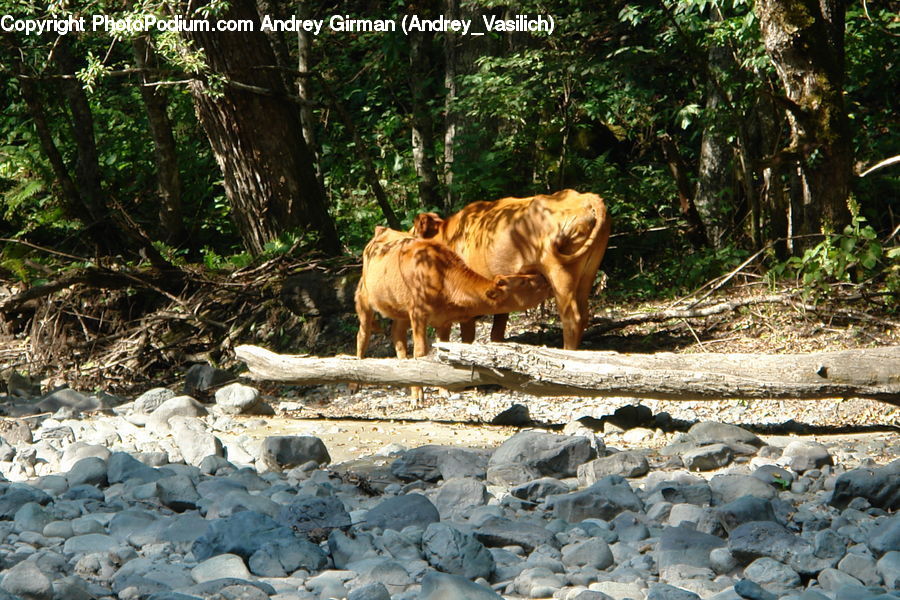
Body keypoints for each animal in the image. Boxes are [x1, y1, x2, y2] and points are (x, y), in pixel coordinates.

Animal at [355, 226, 550, 401]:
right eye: (523, 283)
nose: (542, 277)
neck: (442, 276)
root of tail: (382, 230)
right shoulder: (418, 314)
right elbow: (420, 352)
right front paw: (418, 396)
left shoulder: (444, 320)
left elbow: (442, 353)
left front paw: (443, 391)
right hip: (364, 299)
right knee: (363, 335)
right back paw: (355, 382)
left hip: (400, 310)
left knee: (398, 337)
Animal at [413, 189, 611, 349]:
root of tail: (585, 197)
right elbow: (497, 332)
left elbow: (468, 337)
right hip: (587, 273)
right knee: (583, 315)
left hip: (561, 274)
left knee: (571, 318)